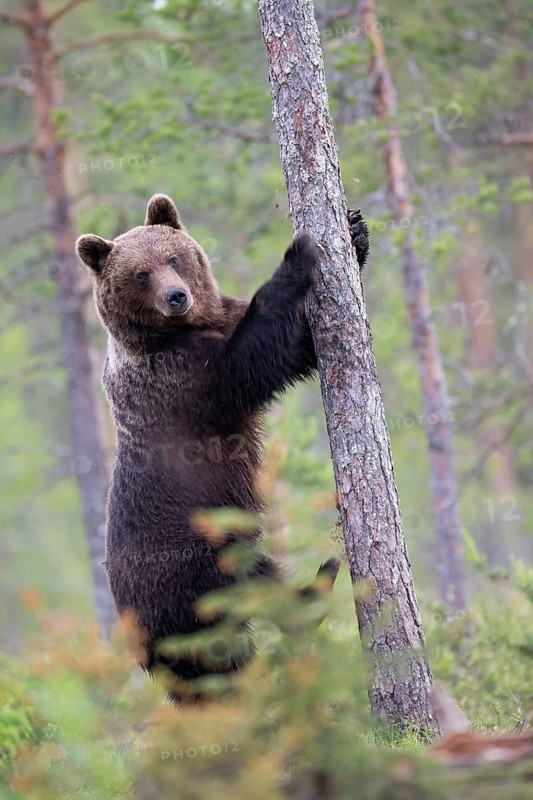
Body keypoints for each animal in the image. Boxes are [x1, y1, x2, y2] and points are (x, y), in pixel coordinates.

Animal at [76, 195, 369, 703]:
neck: (178, 331)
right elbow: (252, 361)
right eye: (140, 274)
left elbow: (298, 345)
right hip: (197, 559)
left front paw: (356, 232)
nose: (176, 297)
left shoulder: (216, 324)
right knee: (254, 581)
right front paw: (297, 255)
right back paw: (319, 585)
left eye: (174, 258)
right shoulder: (181, 379)